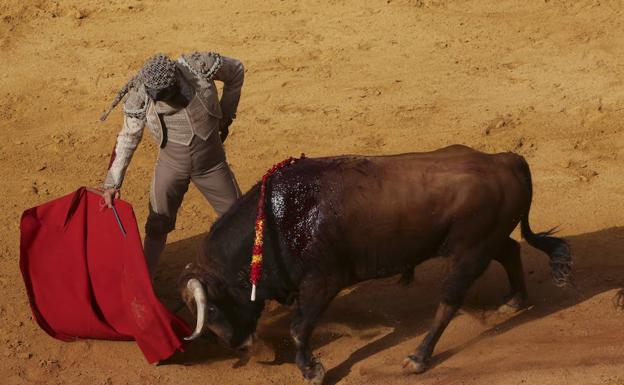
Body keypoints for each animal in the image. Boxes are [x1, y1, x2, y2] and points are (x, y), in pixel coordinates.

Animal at [178, 145, 572, 384]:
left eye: (211, 310)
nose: (243, 348)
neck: (276, 220)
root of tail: (505, 160)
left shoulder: (322, 282)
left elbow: (299, 327)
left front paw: (312, 370)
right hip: (483, 241)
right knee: (511, 250)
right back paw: (514, 301)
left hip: (468, 254)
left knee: (449, 302)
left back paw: (418, 357)